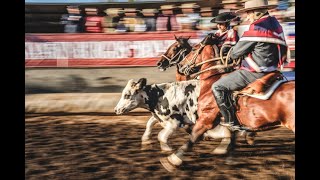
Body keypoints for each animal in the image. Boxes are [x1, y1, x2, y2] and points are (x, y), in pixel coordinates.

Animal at [114, 78, 245, 154]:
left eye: (127, 95)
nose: (116, 110)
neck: (160, 96)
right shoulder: (160, 117)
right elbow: (149, 124)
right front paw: (146, 142)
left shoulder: (175, 122)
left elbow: (161, 136)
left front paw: (167, 150)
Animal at [160, 33, 296, 172]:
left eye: (176, 48)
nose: (181, 67)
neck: (210, 81)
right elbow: (230, 135)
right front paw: (228, 154)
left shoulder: (206, 118)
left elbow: (193, 137)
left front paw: (172, 160)